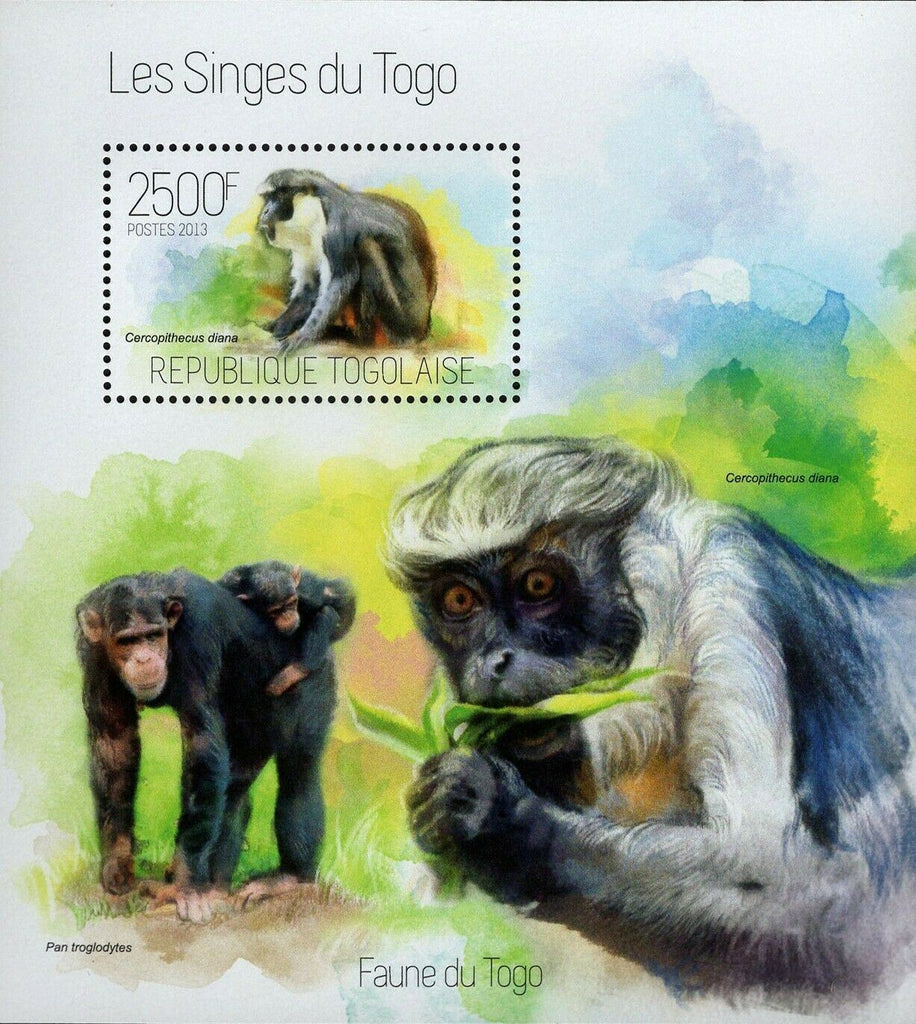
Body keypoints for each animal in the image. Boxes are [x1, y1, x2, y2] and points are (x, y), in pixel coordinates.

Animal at [75, 568, 354, 921]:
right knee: (235, 789)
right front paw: (117, 864)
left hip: (310, 681)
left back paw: (288, 877)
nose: (144, 657)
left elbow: (201, 742)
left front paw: (183, 888)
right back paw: (217, 886)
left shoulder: (197, 634)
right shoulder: (92, 652)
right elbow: (114, 742)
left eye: (153, 635)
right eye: (127, 640)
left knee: (298, 777)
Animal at [256, 169, 437, 352]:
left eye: (279, 196)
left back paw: (361, 339)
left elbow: (341, 280)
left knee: (366, 247)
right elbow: (310, 286)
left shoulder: (336, 228)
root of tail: (424, 328)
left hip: (401, 323)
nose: (265, 211)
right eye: (267, 198)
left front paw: (303, 336)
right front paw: (276, 326)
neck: (317, 210)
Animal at [385, 436, 916, 991]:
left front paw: (496, 821)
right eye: (458, 599)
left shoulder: (725, 584)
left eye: (538, 586)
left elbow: (780, 880)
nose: (495, 661)